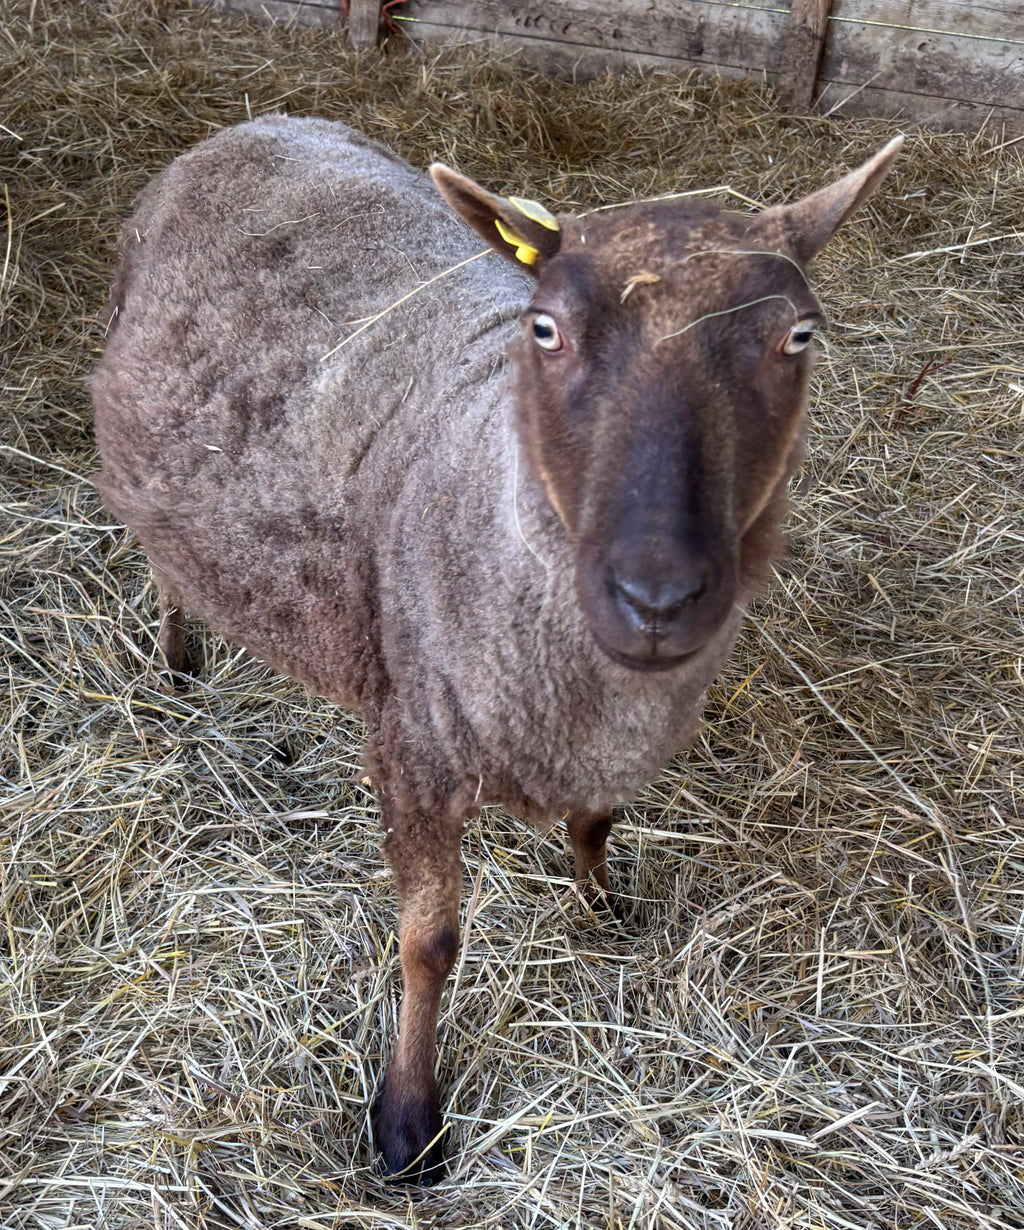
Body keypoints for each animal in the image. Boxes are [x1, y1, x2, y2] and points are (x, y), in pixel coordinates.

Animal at [92, 114, 902, 1183]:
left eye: (798, 335)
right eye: (545, 328)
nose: (657, 597)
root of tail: (258, 122)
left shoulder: (599, 741)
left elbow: (597, 824)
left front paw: (602, 909)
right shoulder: (415, 747)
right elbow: (429, 943)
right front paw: (407, 1120)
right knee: (164, 565)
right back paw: (176, 660)